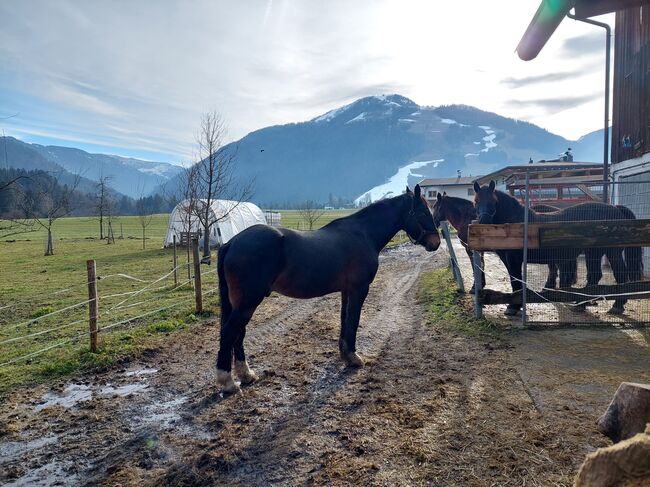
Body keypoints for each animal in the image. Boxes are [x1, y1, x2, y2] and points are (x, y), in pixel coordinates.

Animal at [215, 185, 438, 394]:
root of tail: (231, 242)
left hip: (241, 304)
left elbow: (344, 320)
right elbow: (353, 320)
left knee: (238, 334)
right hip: (248, 303)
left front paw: (346, 355)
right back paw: (228, 382)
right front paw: (355, 358)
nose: (435, 243)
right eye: (423, 212)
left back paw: (246, 375)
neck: (363, 234)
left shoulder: (346, 291)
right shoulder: (359, 289)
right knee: (229, 333)